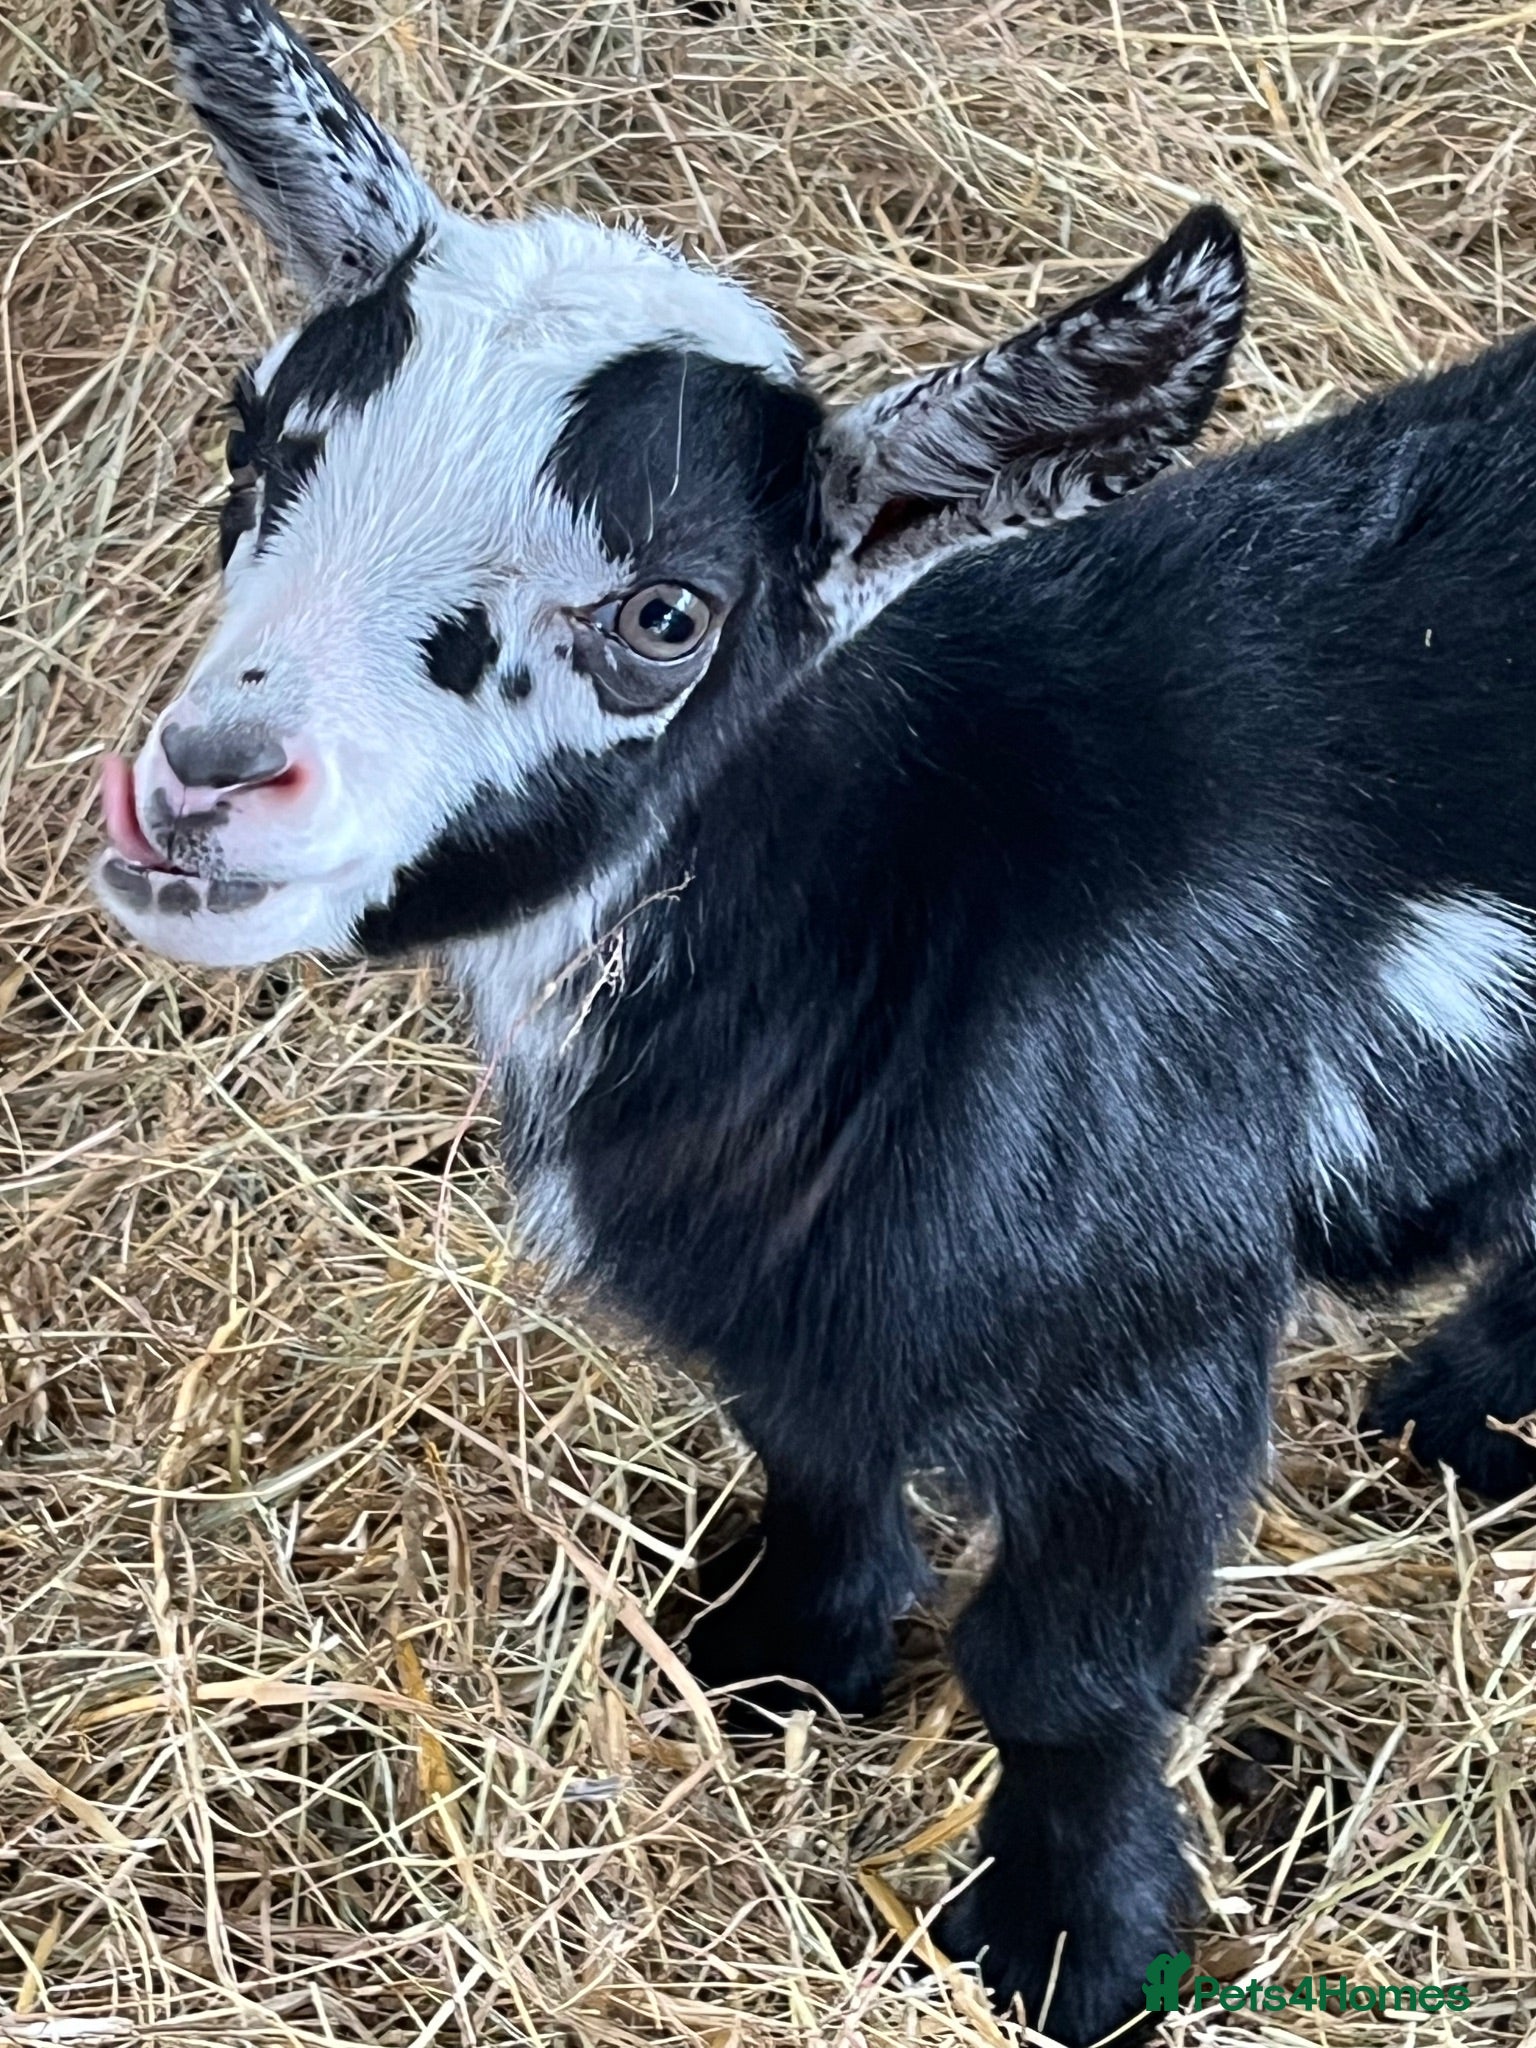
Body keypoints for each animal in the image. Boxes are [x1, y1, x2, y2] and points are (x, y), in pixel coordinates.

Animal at [96, 2, 1536, 2039]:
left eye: (666, 615)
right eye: (255, 443)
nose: (206, 788)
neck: (898, 894)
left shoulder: (1155, 1342)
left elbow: (1070, 1675)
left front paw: (1073, 1948)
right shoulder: (799, 1291)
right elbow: (808, 1444)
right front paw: (775, 1654)